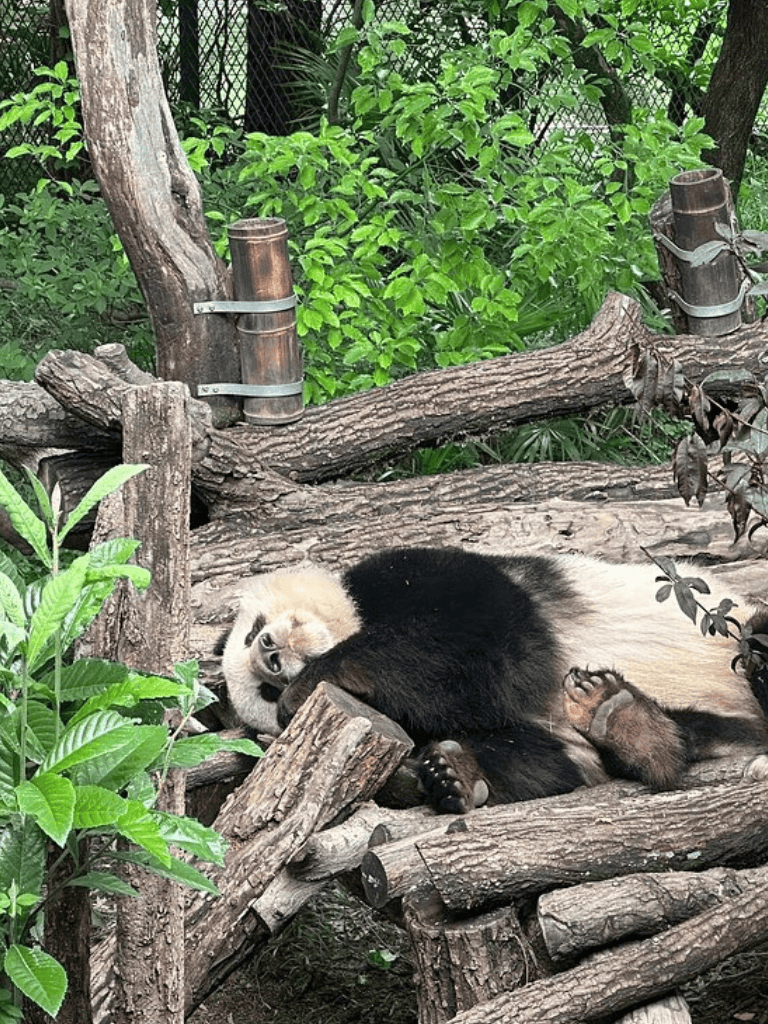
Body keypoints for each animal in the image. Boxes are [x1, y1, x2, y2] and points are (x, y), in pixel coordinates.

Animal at [216, 546, 768, 813]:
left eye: (249, 633)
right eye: (261, 691)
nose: (269, 657)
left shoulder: (427, 575)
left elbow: (470, 644)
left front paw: (311, 684)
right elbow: (554, 757)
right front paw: (451, 775)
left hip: (734, 635)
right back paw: (626, 721)